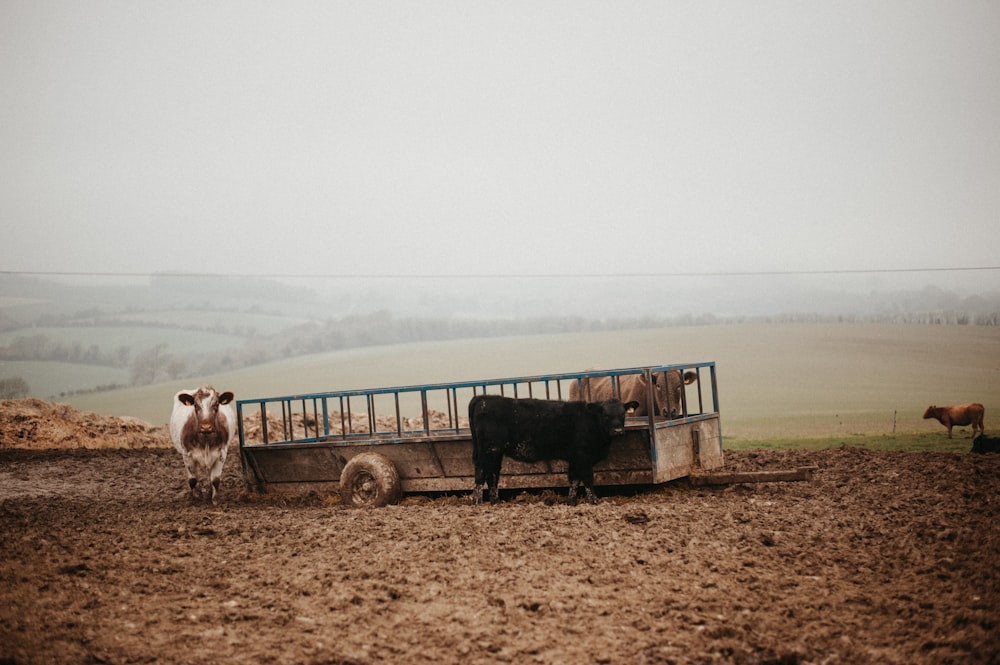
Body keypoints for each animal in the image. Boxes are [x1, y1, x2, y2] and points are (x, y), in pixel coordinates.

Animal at [470, 394, 640, 504]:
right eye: (605, 415)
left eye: (623, 414)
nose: (617, 431)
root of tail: (484, 398)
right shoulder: (584, 456)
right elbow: (587, 478)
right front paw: (594, 500)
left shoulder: (575, 458)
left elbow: (574, 479)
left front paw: (571, 501)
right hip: (489, 450)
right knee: (481, 473)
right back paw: (477, 502)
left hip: (495, 452)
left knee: (493, 474)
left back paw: (495, 501)